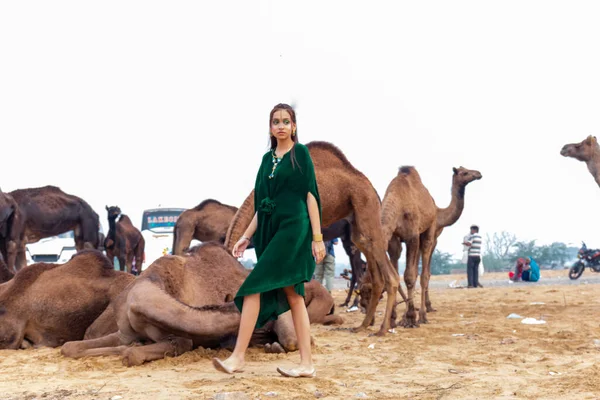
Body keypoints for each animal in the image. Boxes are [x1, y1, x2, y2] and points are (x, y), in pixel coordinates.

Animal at [224, 142, 398, 336]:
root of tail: (373, 190)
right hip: (355, 225)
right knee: (371, 262)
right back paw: (362, 325)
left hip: (366, 206)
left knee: (388, 271)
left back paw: (382, 329)